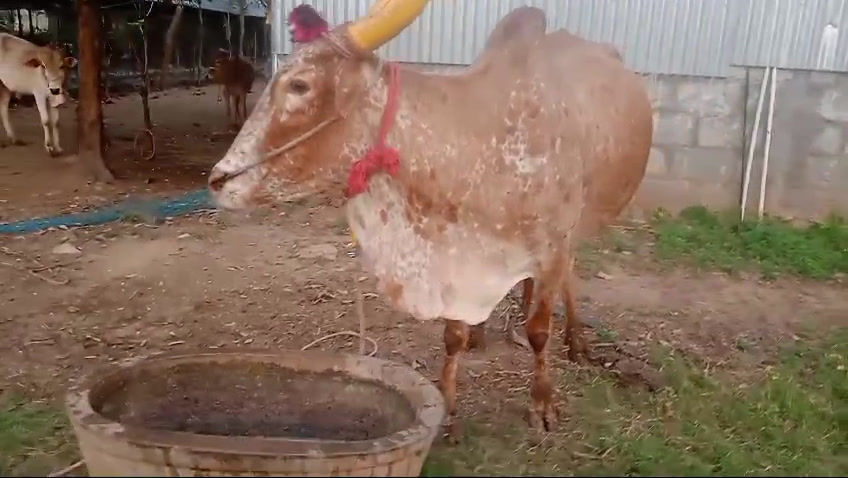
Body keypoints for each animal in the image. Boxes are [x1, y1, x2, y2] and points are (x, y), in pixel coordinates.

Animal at [207, 2, 653, 437]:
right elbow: (452, 336)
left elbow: (539, 331)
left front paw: (542, 403)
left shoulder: (552, 246)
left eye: (299, 85)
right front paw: (448, 405)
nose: (217, 179)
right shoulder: (455, 255)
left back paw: (576, 340)